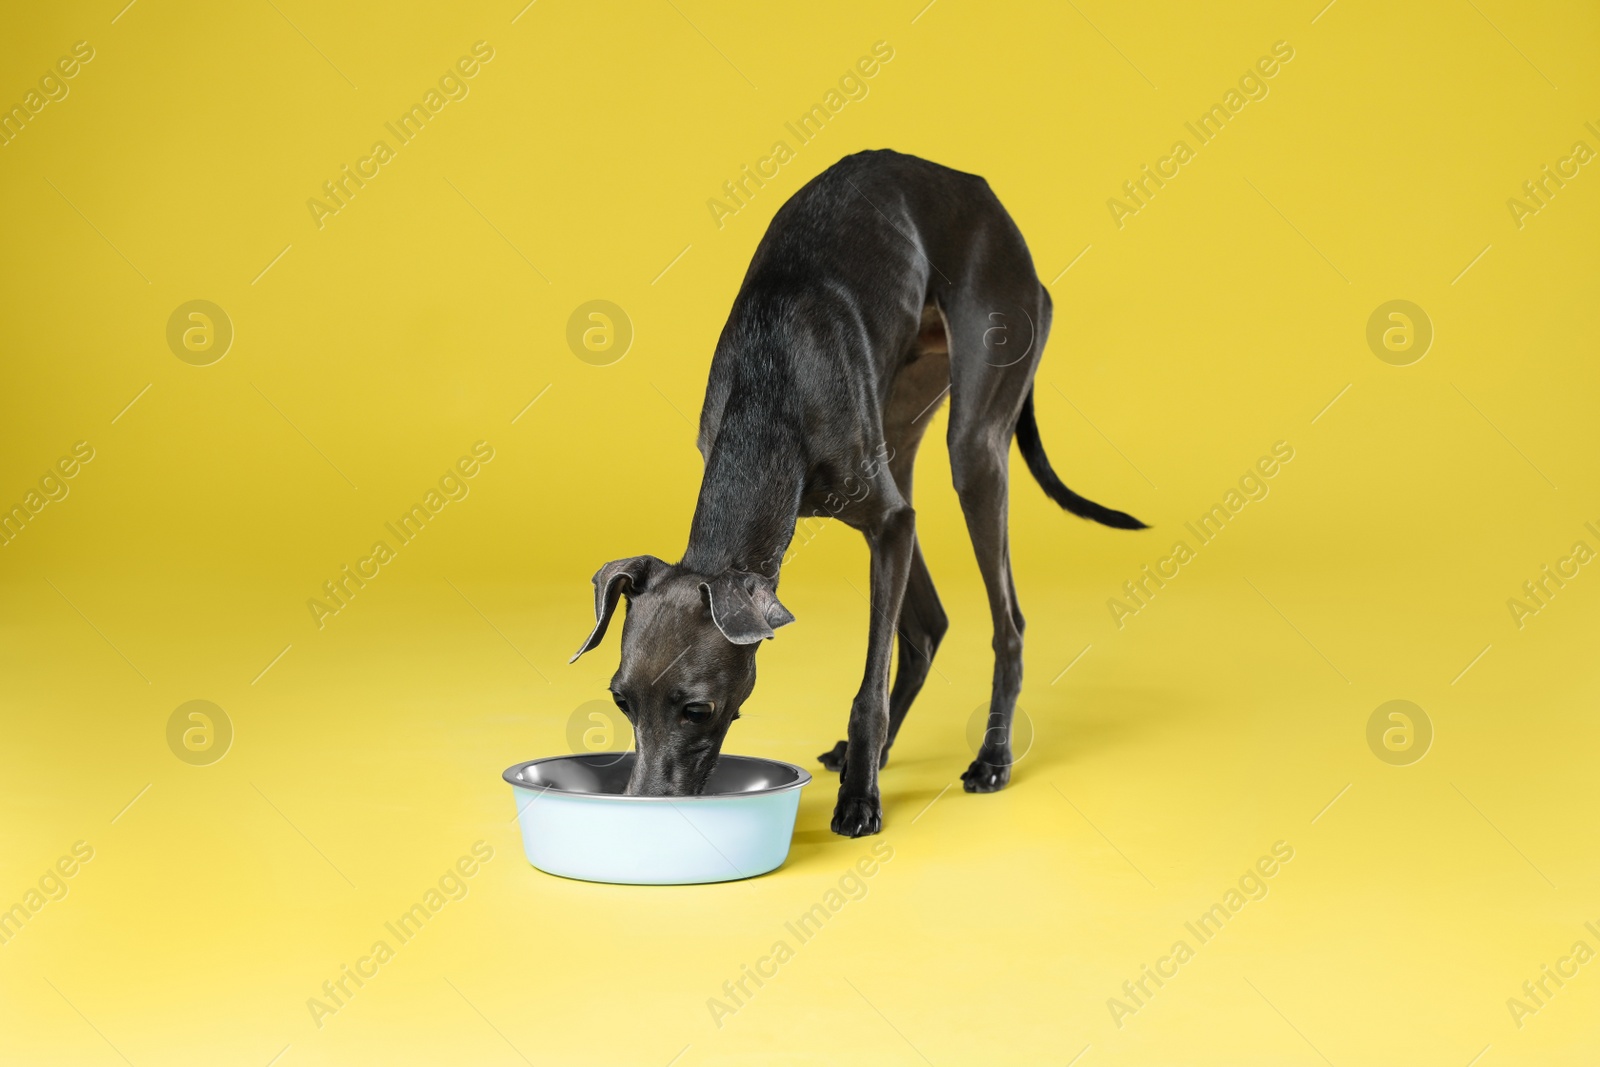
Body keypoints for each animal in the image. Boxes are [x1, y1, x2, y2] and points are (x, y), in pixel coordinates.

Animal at [569, 150, 1145, 838]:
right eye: (621, 700)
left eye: (697, 709)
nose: (644, 810)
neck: (772, 385)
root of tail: (985, 199)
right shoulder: (891, 516)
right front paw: (861, 770)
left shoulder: (888, 521)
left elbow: (868, 684)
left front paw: (859, 800)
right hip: (903, 429)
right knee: (929, 624)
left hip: (975, 441)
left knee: (1007, 622)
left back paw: (991, 757)